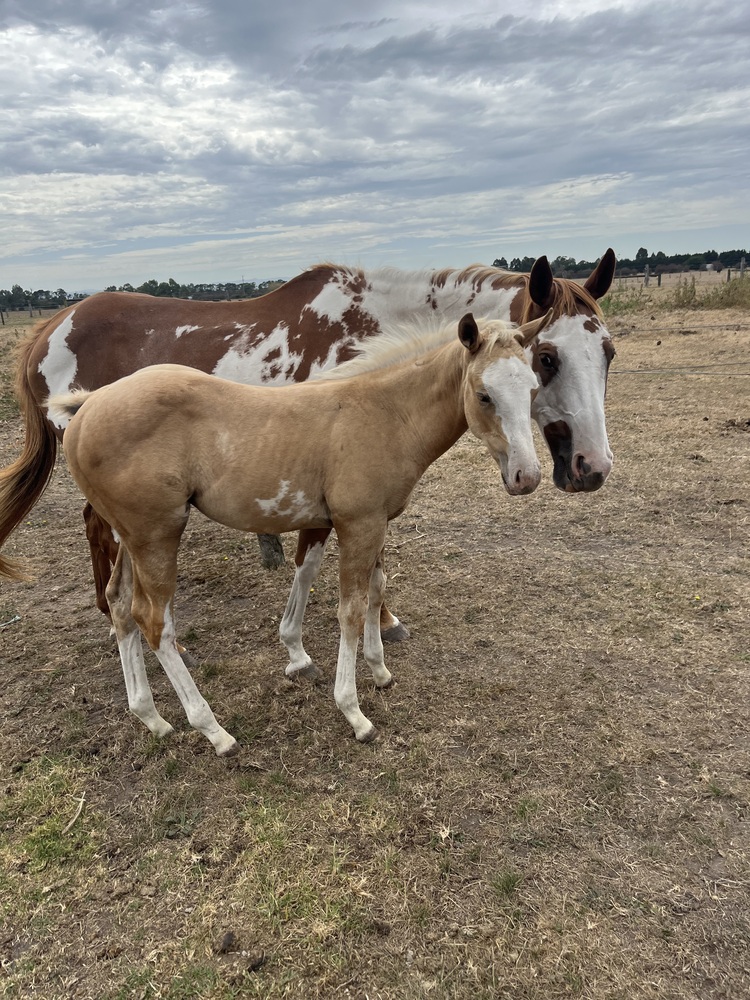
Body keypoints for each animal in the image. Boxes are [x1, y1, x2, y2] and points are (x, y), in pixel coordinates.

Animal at [0, 252, 616, 644]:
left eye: (607, 351)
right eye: (548, 358)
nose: (591, 467)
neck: (368, 328)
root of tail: (52, 325)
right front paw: (379, 623)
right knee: (99, 530)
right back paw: (112, 618)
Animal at [46, 312, 549, 753]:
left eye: (533, 387)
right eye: (484, 395)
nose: (526, 477)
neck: (386, 413)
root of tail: (86, 408)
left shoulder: (373, 522)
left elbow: (375, 587)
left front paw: (379, 671)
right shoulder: (359, 523)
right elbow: (351, 609)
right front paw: (354, 712)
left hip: (131, 537)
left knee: (119, 605)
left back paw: (152, 717)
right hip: (156, 535)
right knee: (155, 622)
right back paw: (213, 731)